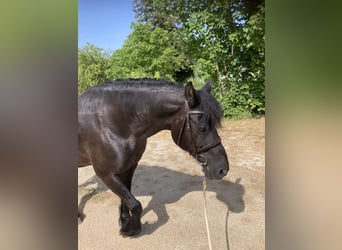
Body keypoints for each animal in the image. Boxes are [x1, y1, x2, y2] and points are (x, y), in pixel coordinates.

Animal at [78, 78, 228, 236]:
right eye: (202, 127)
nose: (222, 169)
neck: (112, 121)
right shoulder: (105, 174)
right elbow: (135, 204)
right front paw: (132, 229)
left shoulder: (128, 168)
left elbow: (126, 199)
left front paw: (124, 223)